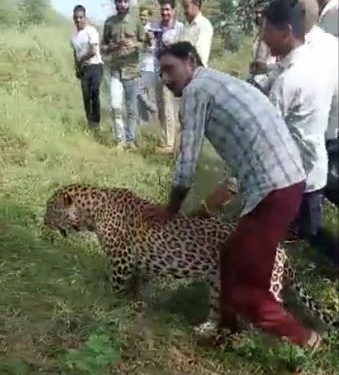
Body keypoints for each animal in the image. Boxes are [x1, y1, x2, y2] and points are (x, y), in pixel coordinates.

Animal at [43, 184, 338, 342]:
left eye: (50, 209)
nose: (43, 221)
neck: (93, 210)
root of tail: (282, 252)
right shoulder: (138, 263)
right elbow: (140, 287)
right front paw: (136, 303)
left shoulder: (121, 260)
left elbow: (116, 286)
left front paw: (108, 301)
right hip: (218, 283)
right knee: (218, 310)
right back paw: (206, 331)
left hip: (262, 285)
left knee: (270, 315)